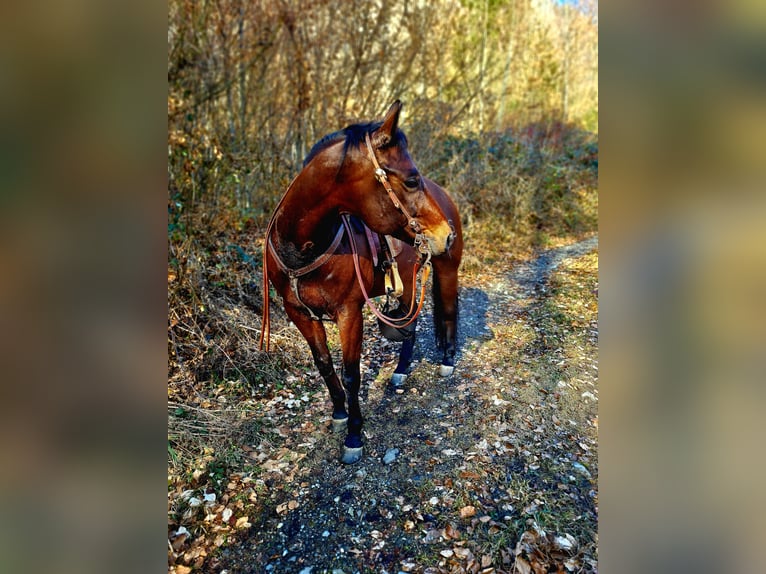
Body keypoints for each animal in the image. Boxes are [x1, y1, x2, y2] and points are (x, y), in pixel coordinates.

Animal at [260, 101, 462, 466]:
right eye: (411, 180)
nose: (446, 235)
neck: (302, 245)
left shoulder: (349, 312)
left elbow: (351, 373)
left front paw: (354, 434)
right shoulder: (298, 312)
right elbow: (325, 365)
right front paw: (339, 413)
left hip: (447, 271)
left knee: (451, 312)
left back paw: (448, 361)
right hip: (408, 284)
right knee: (409, 326)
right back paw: (401, 370)